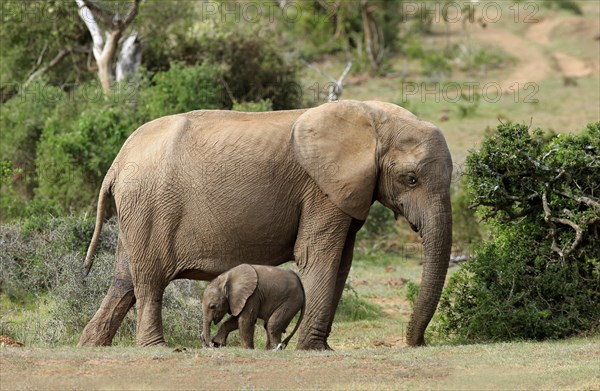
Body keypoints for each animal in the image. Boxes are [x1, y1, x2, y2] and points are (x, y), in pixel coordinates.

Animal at [81, 100, 454, 350]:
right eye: (410, 179)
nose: (417, 343)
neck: (373, 119)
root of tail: (117, 162)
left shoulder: (346, 193)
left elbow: (342, 263)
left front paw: (320, 348)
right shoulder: (320, 189)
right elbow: (319, 258)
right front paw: (310, 350)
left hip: (137, 209)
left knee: (124, 279)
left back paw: (92, 343)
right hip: (150, 204)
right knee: (149, 280)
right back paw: (158, 348)